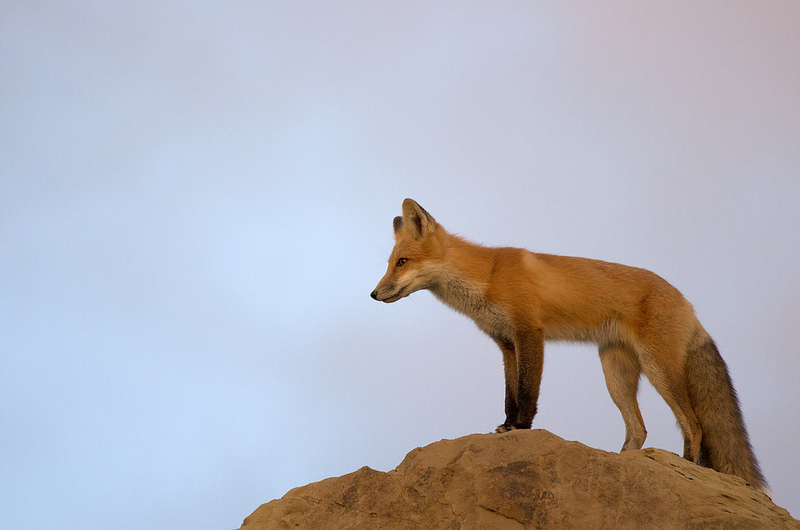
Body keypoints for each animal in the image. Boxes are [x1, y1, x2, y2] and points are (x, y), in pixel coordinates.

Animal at [372, 197, 764, 486]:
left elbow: (527, 392)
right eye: (390, 263)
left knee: (694, 425)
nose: (373, 294)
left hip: (658, 370)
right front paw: (505, 428)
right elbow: (509, 394)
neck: (487, 276)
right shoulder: (506, 344)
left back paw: (687, 468)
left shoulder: (530, 333)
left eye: (402, 262)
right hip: (615, 375)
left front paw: (521, 429)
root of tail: (689, 304)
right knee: (638, 430)